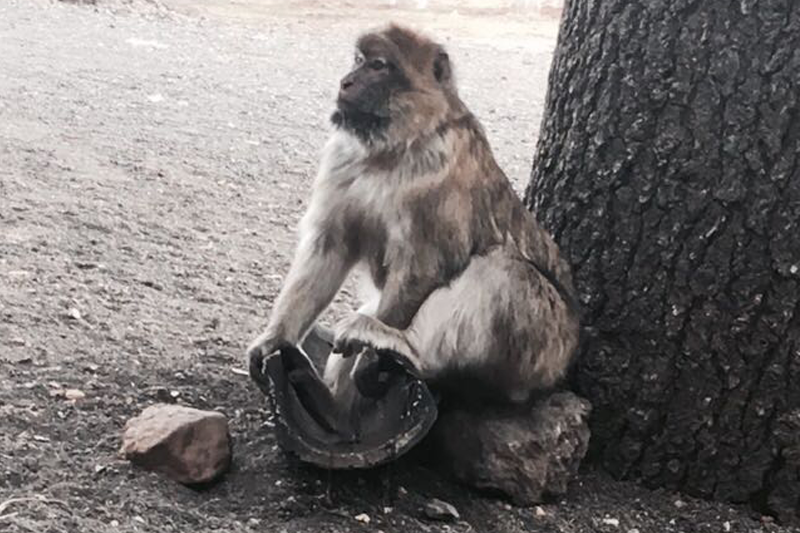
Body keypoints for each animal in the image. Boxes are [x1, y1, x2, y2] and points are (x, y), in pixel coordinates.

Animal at [247, 23, 580, 416]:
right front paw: (276, 339)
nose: (346, 81)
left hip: (545, 350)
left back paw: (408, 349)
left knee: (506, 270)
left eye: (378, 66)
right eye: (358, 60)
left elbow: (423, 266)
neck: (393, 149)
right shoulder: (342, 160)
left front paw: (367, 364)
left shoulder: (437, 176)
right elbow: (328, 248)